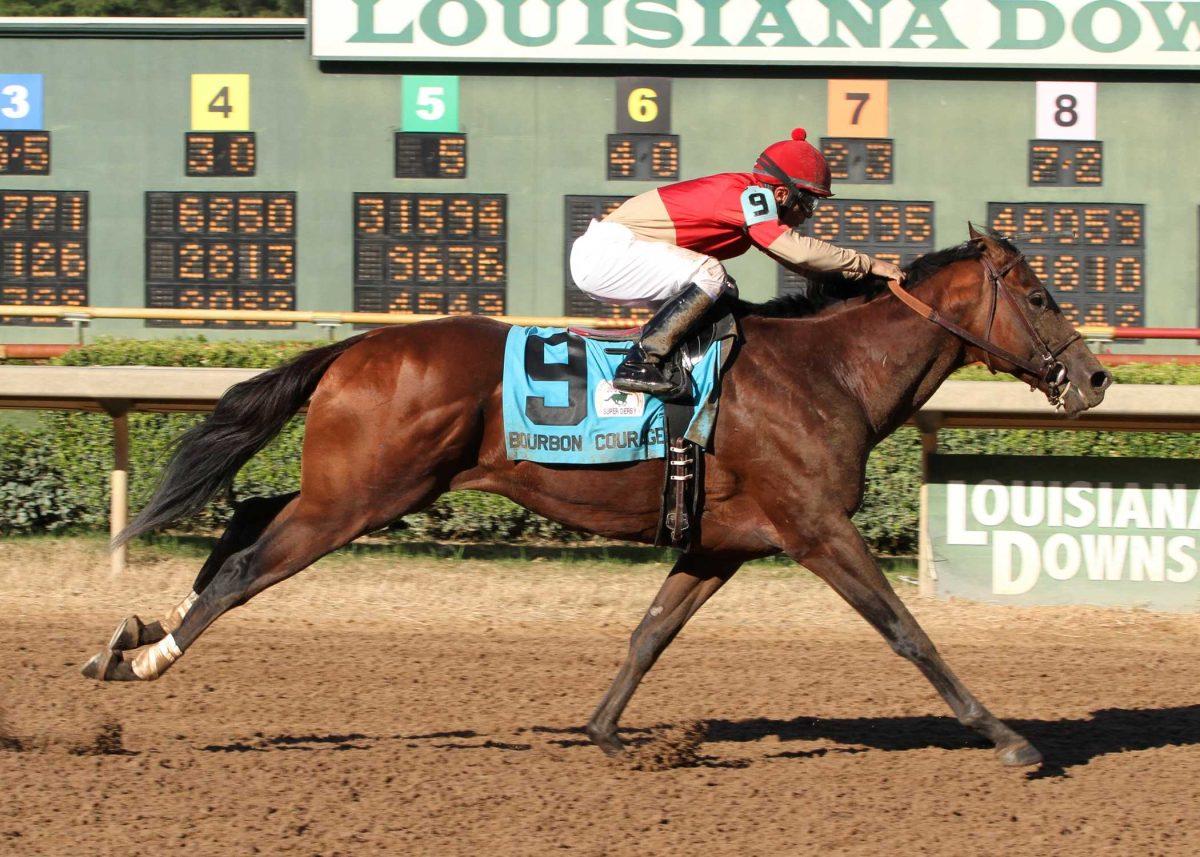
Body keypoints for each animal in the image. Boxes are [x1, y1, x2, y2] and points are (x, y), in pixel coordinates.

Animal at [82, 229, 1113, 768]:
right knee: (249, 565)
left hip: (351, 486)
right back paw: (147, 659)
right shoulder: (817, 528)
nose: (1097, 377)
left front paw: (608, 731)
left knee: (247, 519)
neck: (829, 372)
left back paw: (127, 634)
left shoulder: (722, 540)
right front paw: (1010, 738)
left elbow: (650, 631)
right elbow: (910, 632)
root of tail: (357, 345)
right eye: (1040, 294)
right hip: (360, 497)